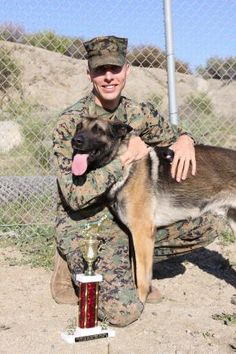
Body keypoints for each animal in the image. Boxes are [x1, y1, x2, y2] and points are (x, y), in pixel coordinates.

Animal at [72, 117, 236, 302]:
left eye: (98, 130)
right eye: (79, 127)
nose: (75, 141)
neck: (125, 165)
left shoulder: (142, 232)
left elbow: (142, 276)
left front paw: (140, 301)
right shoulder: (134, 235)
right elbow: (136, 271)